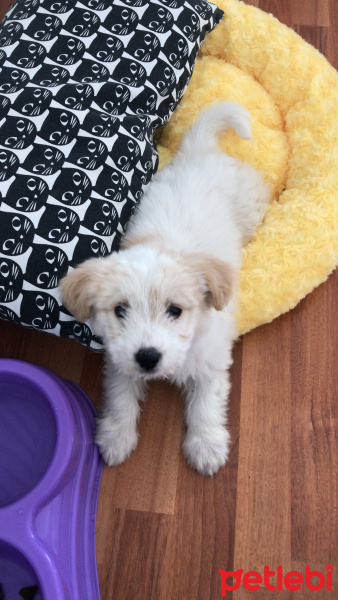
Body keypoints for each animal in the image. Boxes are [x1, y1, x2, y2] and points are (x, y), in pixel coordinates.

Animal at [61, 104, 270, 478]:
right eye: (120, 310)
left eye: (175, 310)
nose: (147, 357)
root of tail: (200, 150)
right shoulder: (119, 360)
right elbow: (120, 396)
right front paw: (116, 436)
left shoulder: (211, 361)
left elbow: (206, 404)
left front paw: (207, 446)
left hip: (250, 206)